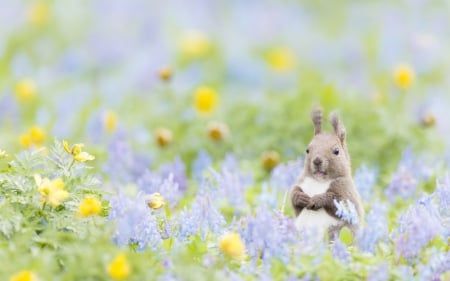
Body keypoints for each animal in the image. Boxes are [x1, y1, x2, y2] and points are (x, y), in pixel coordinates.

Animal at [288, 107, 366, 238]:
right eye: (307, 150)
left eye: (336, 151)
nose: (317, 161)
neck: (320, 181)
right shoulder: (301, 181)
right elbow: (293, 196)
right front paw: (300, 198)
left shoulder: (347, 191)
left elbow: (338, 200)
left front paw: (317, 199)